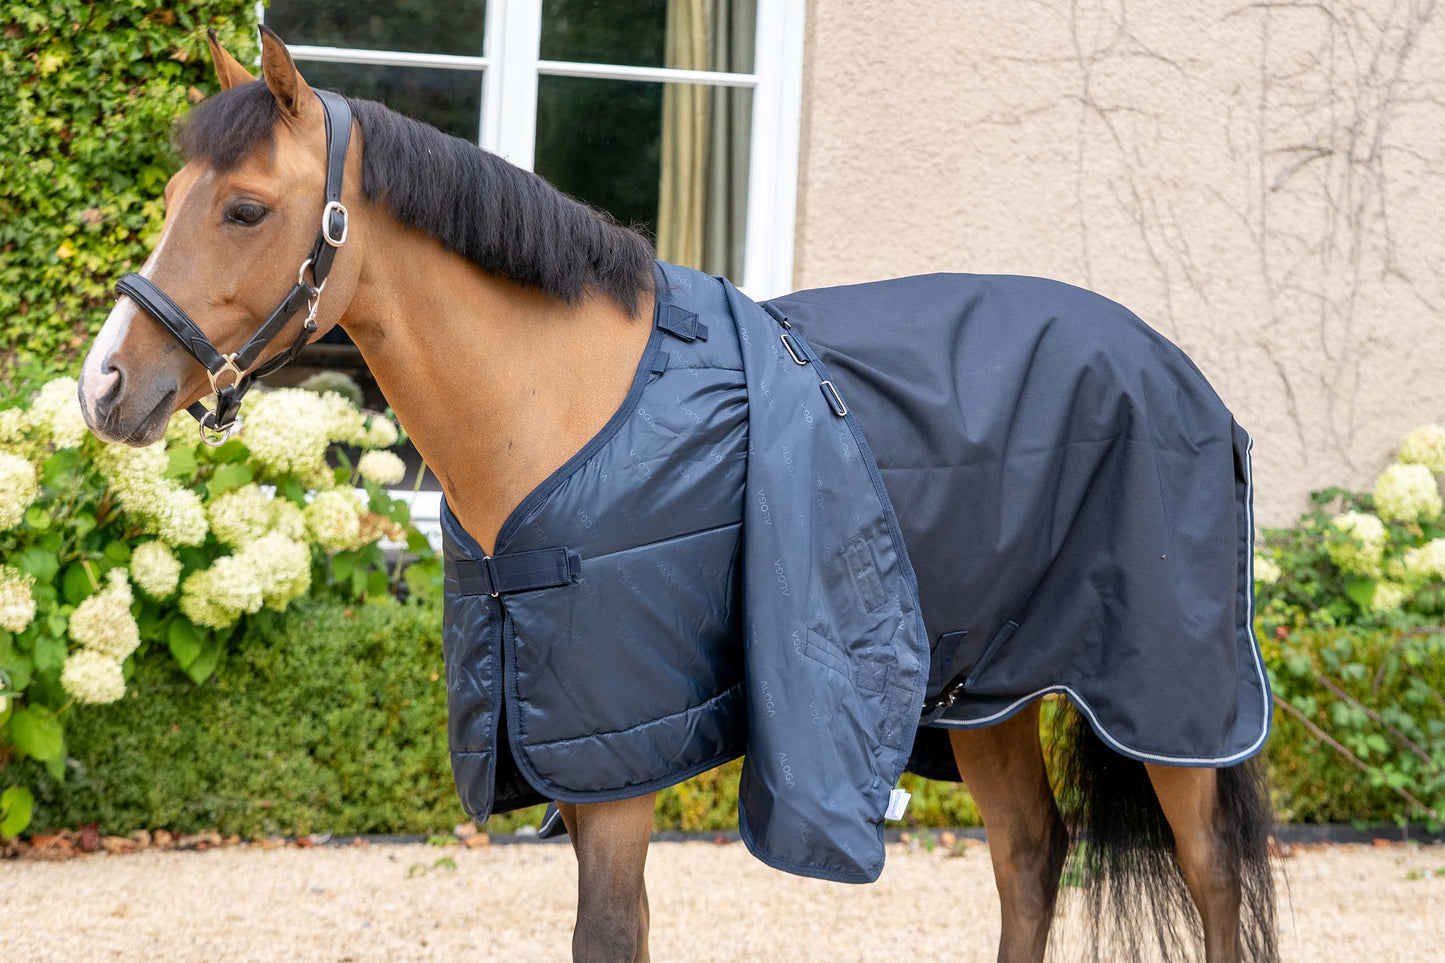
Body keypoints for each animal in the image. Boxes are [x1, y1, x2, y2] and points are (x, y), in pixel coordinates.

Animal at [77, 27, 1278, 963]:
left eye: (242, 209)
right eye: (175, 197)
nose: (105, 385)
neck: (559, 402)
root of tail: (1184, 378)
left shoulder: (618, 759)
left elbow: (609, 935)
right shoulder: (570, 739)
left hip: (1166, 700)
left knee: (1209, 871)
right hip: (986, 690)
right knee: (1030, 857)